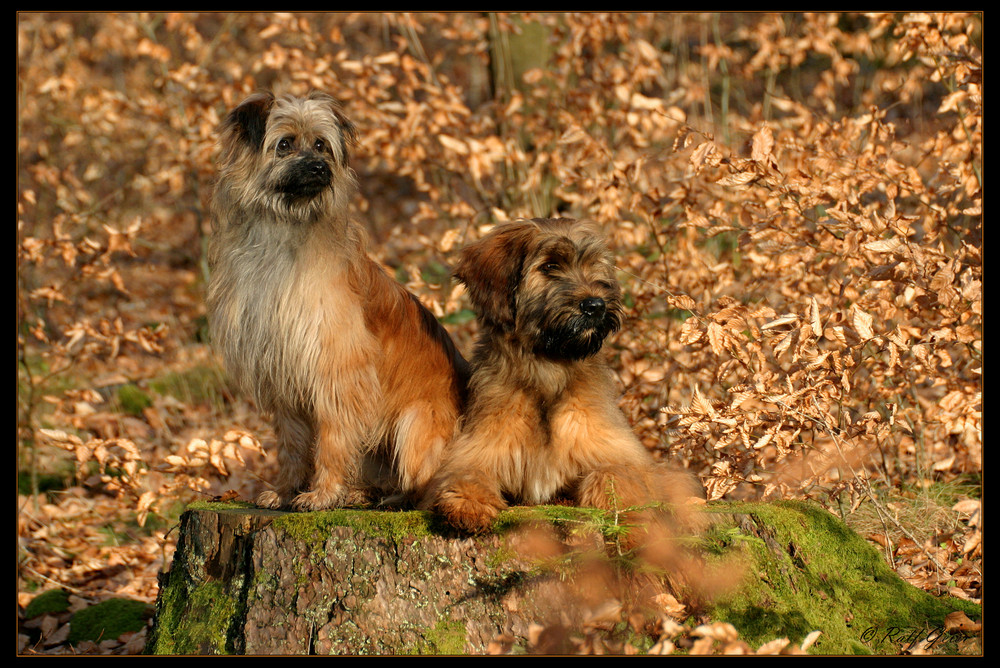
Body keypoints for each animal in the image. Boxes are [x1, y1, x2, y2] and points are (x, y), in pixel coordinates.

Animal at [206, 92, 468, 512]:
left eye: (320, 144)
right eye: (284, 144)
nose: (319, 167)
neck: (284, 232)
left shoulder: (336, 369)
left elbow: (332, 438)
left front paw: (323, 494)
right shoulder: (281, 370)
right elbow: (293, 444)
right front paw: (285, 490)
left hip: (415, 422)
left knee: (427, 484)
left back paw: (391, 498)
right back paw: (364, 492)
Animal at [426, 219, 700, 532]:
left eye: (593, 264)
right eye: (549, 266)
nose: (595, 305)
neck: (550, 369)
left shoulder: (624, 456)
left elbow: (615, 474)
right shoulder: (478, 449)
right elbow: (465, 474)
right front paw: (468, 505)